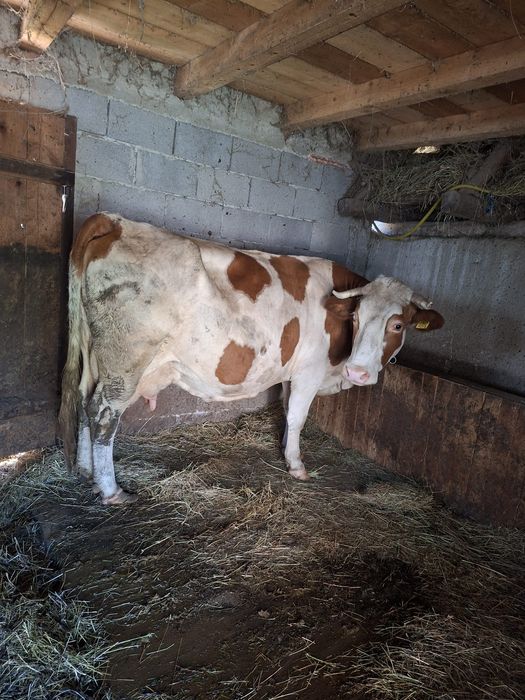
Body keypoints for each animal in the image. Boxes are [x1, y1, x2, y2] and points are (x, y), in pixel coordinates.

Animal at [59, 213, 444, 504]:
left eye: (397, 324)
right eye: (357, 318)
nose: (358, 372)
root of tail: (117, 221)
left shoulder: (290, 373)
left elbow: (287, 413)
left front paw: (285, 450)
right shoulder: (309, 371)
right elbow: (298, 417)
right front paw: (297, 466)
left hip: (96, 356)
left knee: (84, 401)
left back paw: (86, 470)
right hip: (126, 363)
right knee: (103, 413)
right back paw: (112, 490)